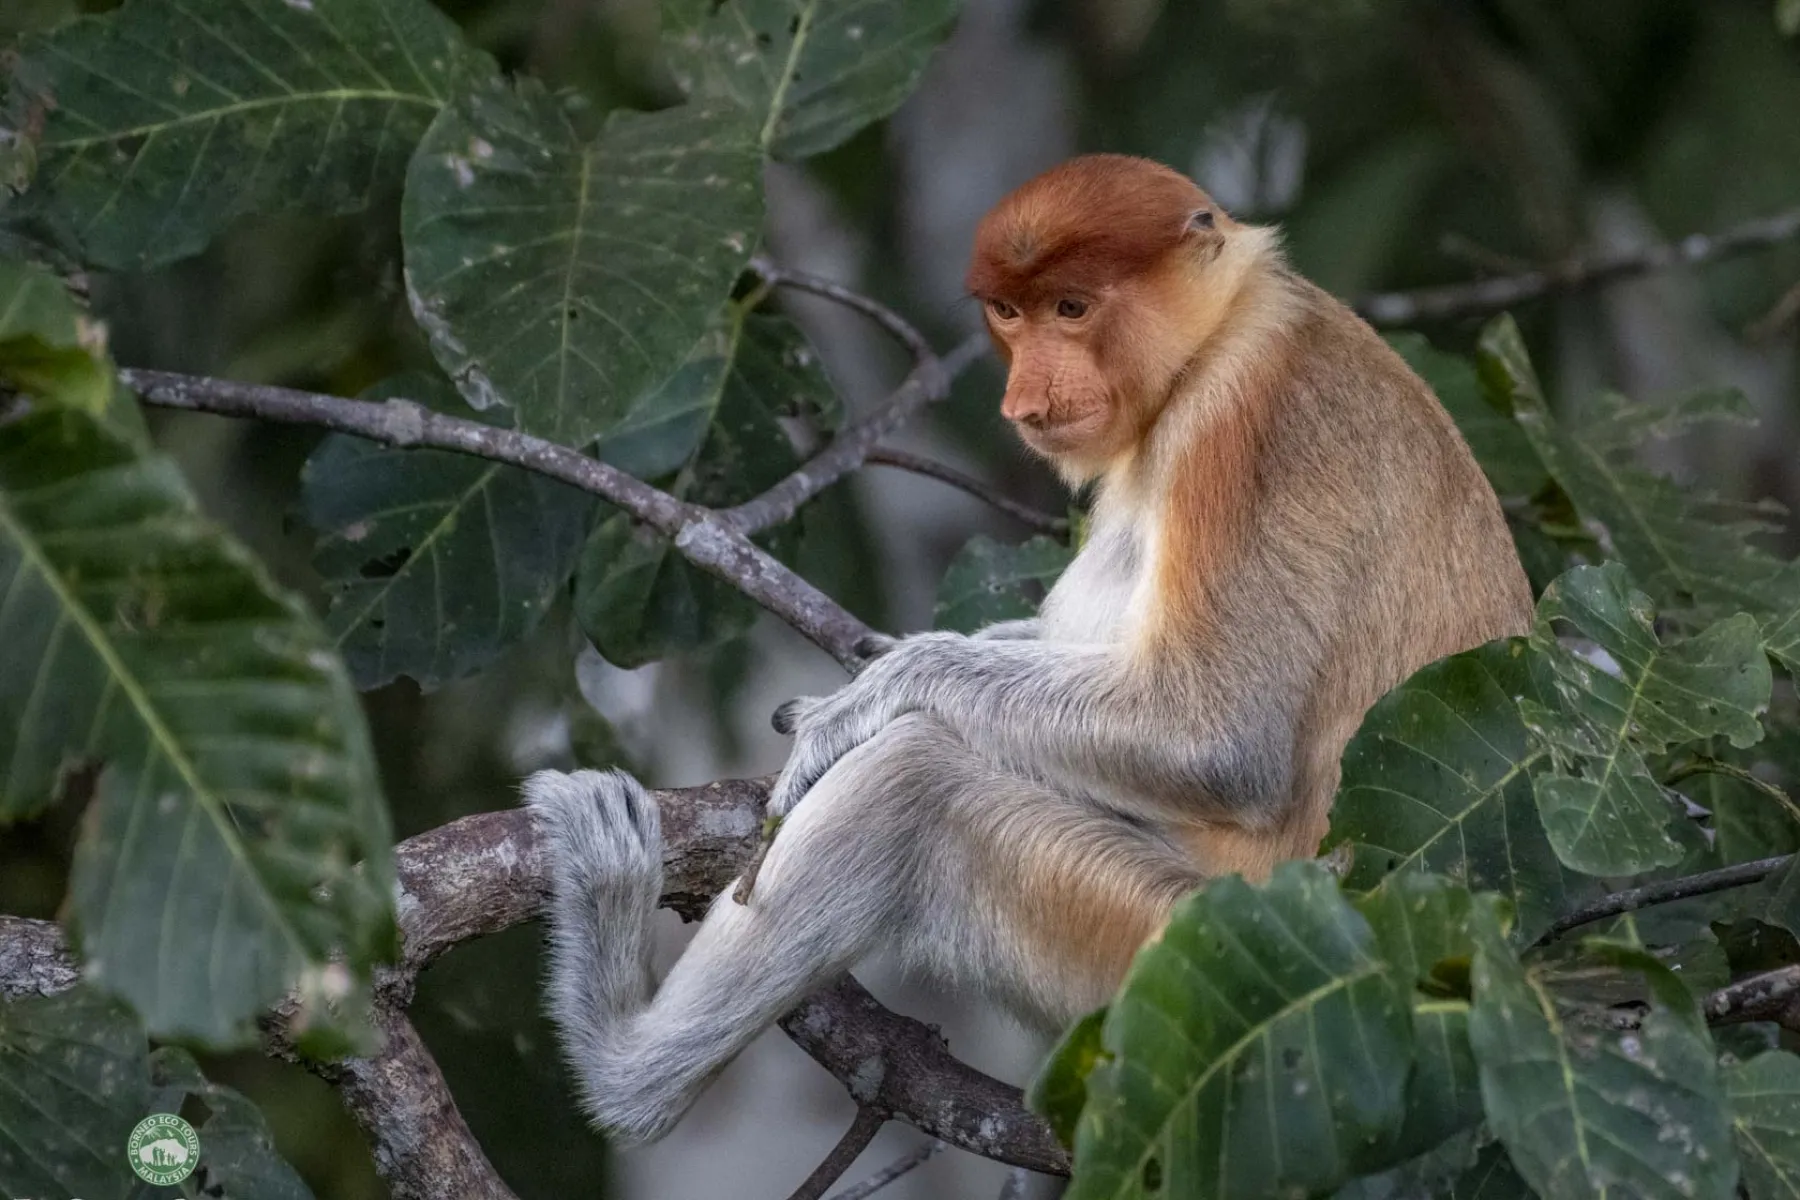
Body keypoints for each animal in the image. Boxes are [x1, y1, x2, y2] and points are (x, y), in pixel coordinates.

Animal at [524, 154, 1533, 1146]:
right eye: (1010, 314)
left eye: (1074, 308)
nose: (1027, 395)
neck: (1218, 336)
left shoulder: (1247, 423)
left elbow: (1219, 738)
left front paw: (862, 702)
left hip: (1183, 947)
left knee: (920, 787)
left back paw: (622, 1055)